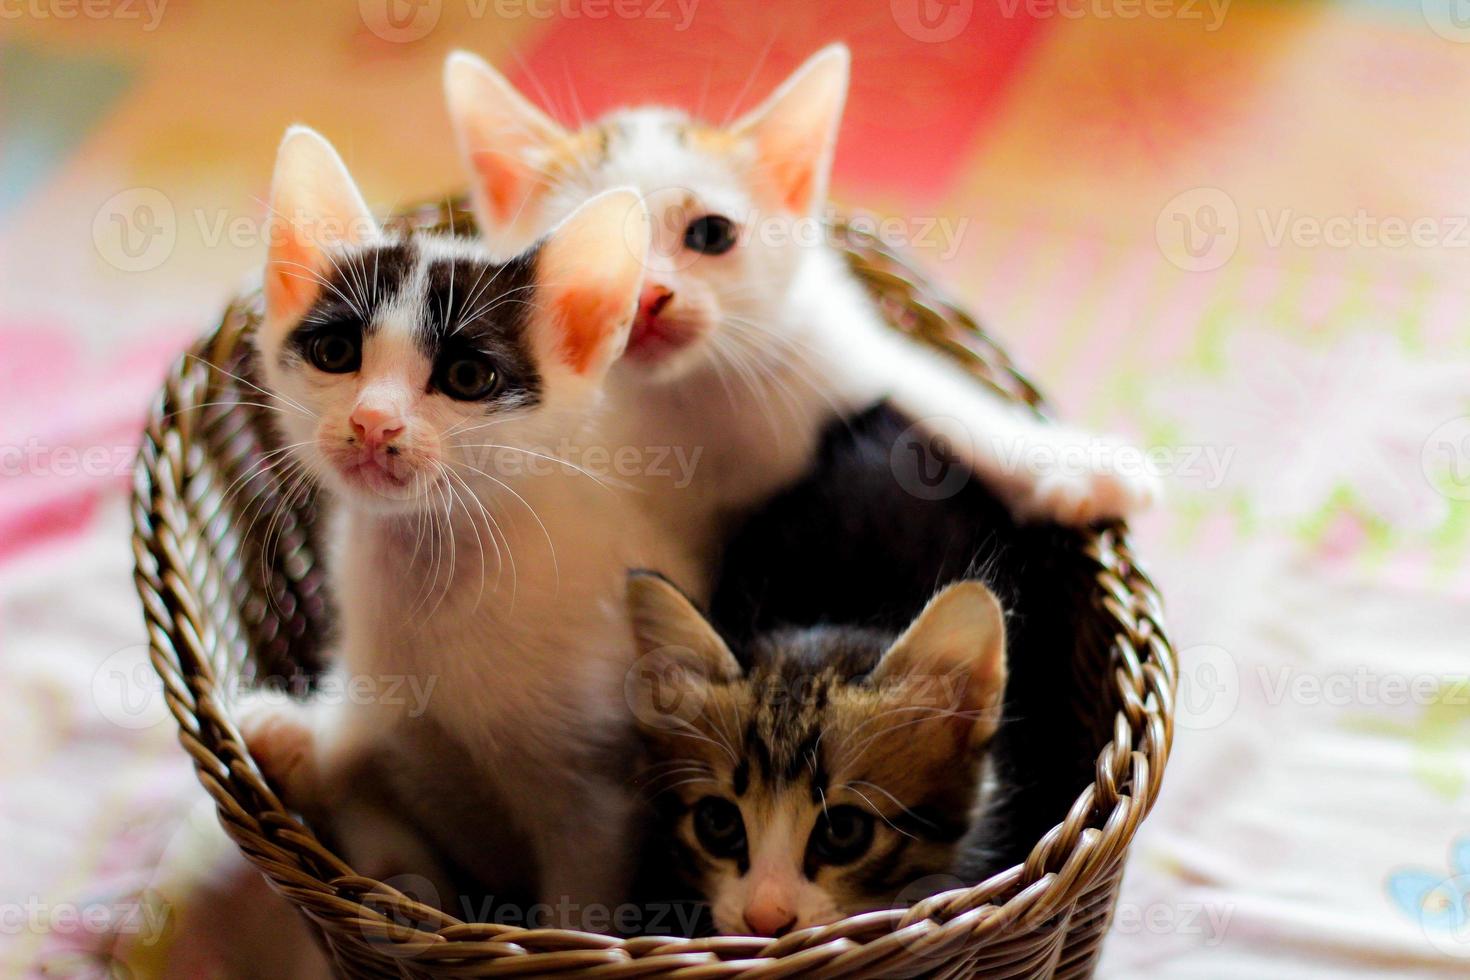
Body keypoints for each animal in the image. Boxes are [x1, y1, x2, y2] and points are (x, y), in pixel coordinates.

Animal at [238, 126, 702, 922]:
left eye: (466, 378)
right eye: (336, 353)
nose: (374, 421)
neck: (431, 574)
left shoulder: (598, 797)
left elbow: (579, 903)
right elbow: (377, 820)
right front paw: (294, 738)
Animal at [446, 40, 1158, 558]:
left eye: (710, 234)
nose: (648, 297)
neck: (692, 396)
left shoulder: (830, 345)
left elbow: (930, 389)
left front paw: (1074, 463)